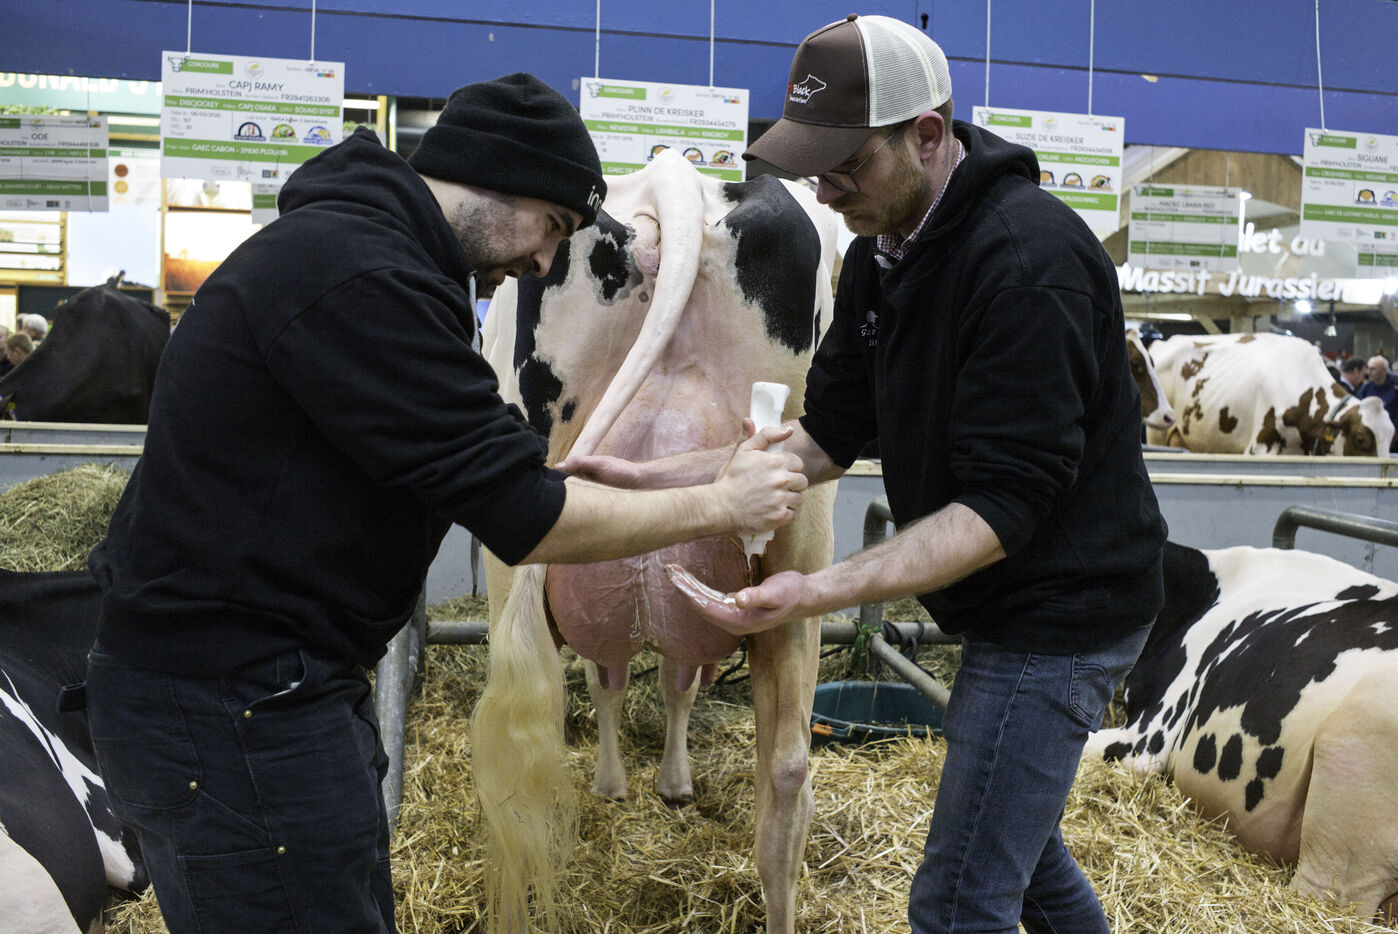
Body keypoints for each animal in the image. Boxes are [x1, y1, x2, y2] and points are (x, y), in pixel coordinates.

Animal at [472, 149, 838, 934]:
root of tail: (677, 175)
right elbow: (674, 677)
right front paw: (671, 783)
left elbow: (605, 678)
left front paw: (619, 783)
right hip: (801, 533)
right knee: (789, 767)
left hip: (515, 532)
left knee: (512, 764)